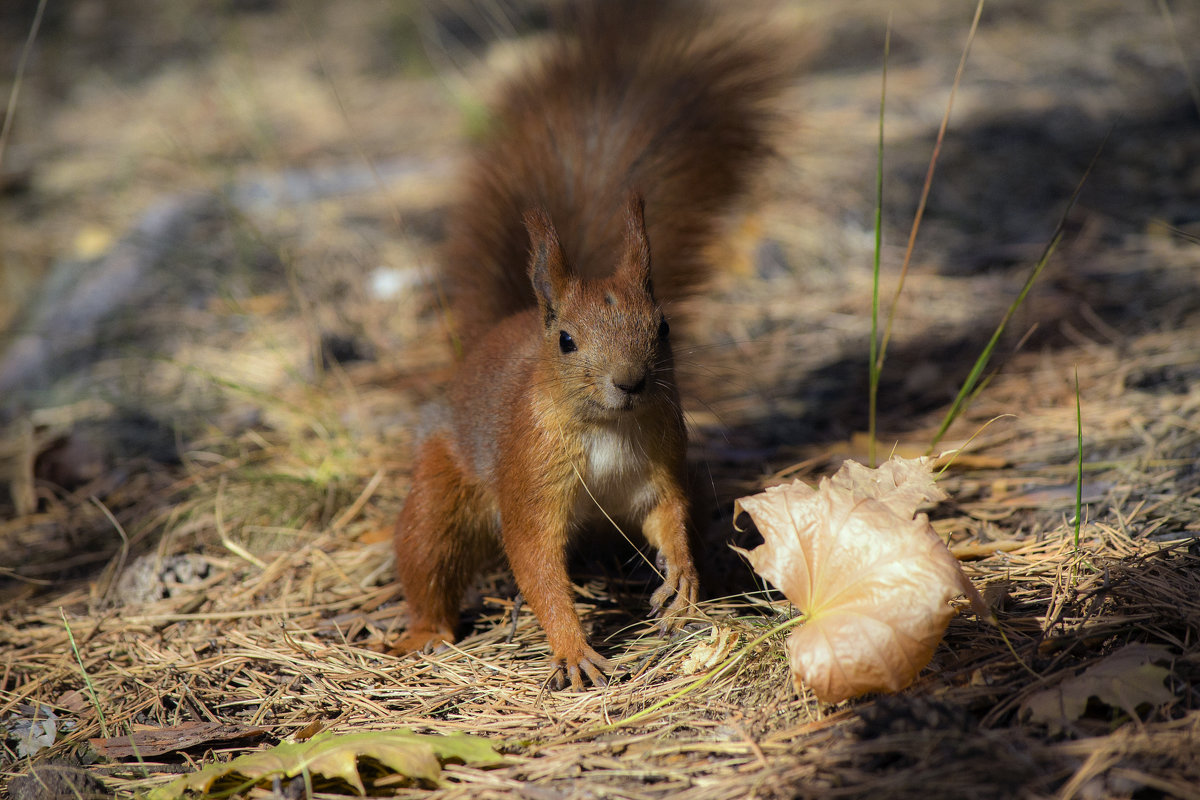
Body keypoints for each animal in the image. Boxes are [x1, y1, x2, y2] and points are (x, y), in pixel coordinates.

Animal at [393, 0, 782, 690]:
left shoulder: (659, 463)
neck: (606, 427)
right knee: (426, 551)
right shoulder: (528, 474)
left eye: (663, 327)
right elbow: (535, 560)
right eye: (567, 341)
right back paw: (426, 632)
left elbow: (670, 514)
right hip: (440, 486)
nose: (629, 381)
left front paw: (682, 580)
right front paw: (574, 649)